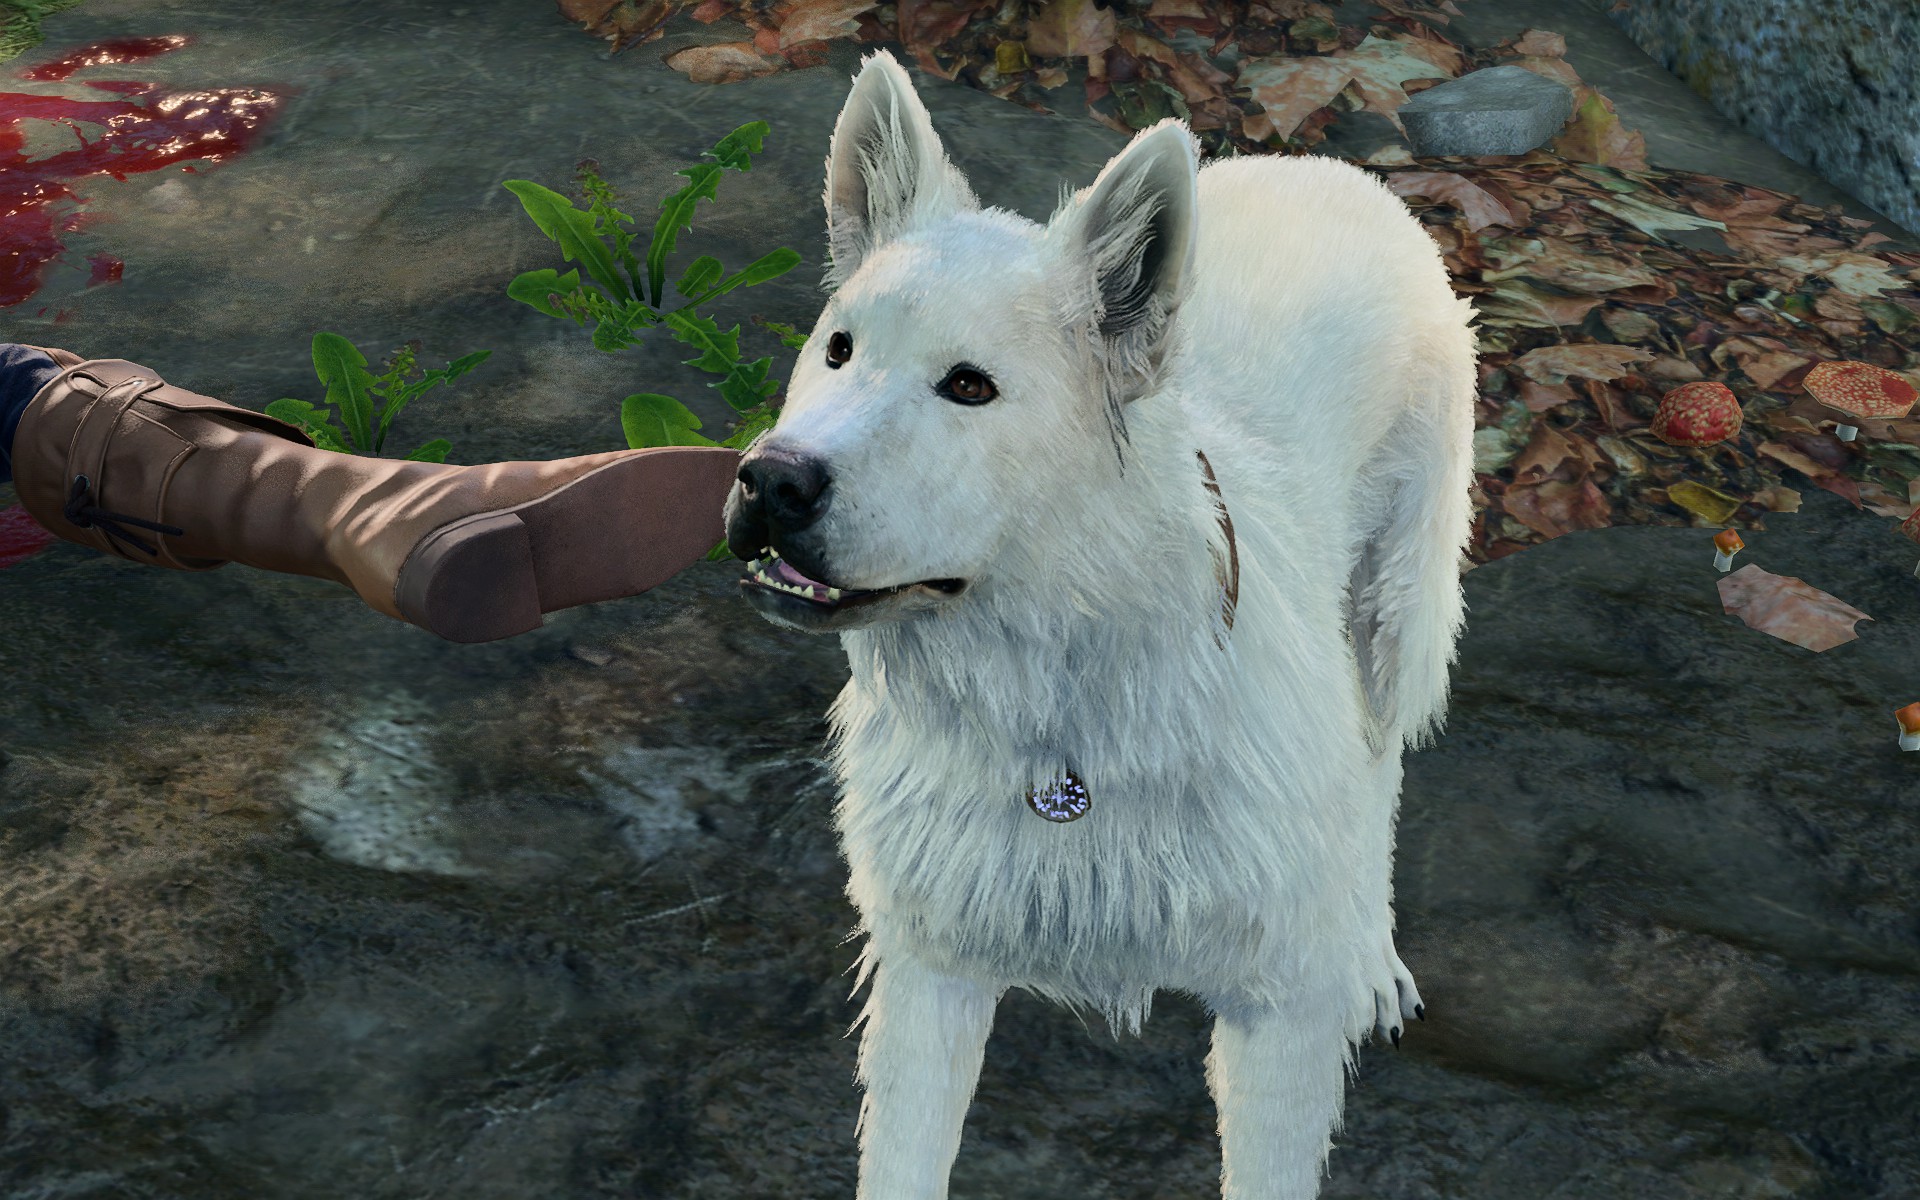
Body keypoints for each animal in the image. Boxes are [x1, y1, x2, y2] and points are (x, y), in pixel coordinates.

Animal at [725, 49, 1474, 1198]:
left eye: (970, 387)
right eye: (839, 350)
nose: (770, 481)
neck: (1062, 715)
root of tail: (1332, 169)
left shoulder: (1281, 1021)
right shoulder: (929, 975)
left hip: (1394, 617)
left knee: (1378, 765)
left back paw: (1371, 950)